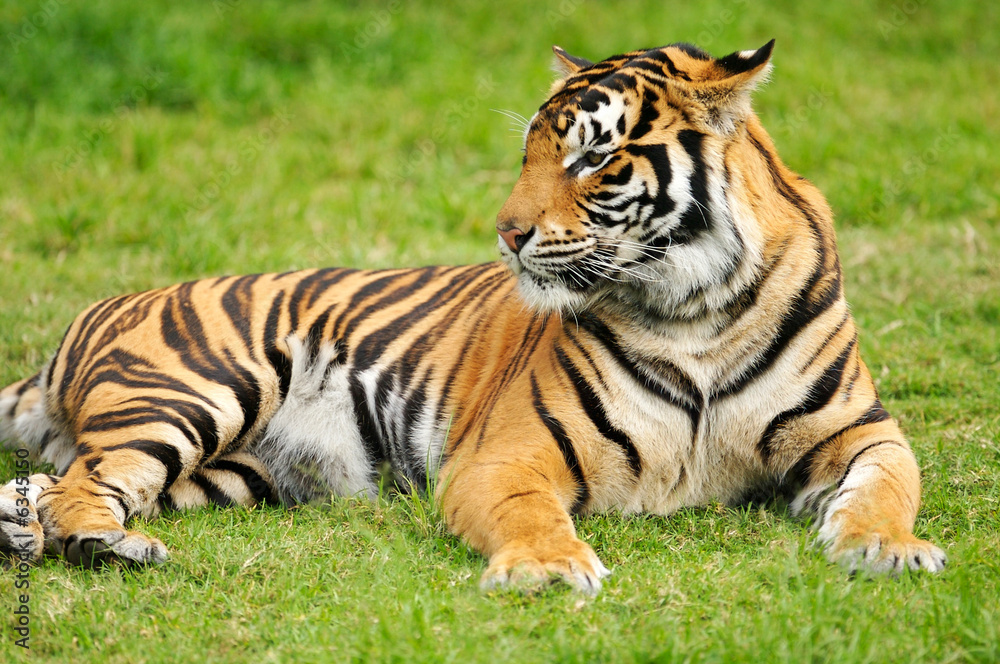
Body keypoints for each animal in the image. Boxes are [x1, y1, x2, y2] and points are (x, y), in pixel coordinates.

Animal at [0, 39, 946, 593]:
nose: (506, 231)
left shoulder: (859, 430)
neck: (696, 308)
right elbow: (531, 512)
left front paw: (889, 548)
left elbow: (888, 487)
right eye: (528, 151)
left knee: (54, 487)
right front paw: (547, 568)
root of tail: (97, 311)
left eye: (593, 159)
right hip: (194, 392)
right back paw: (108, 547)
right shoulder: (505, 455)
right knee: (84, 487)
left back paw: (35, 534)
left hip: (236, 472)